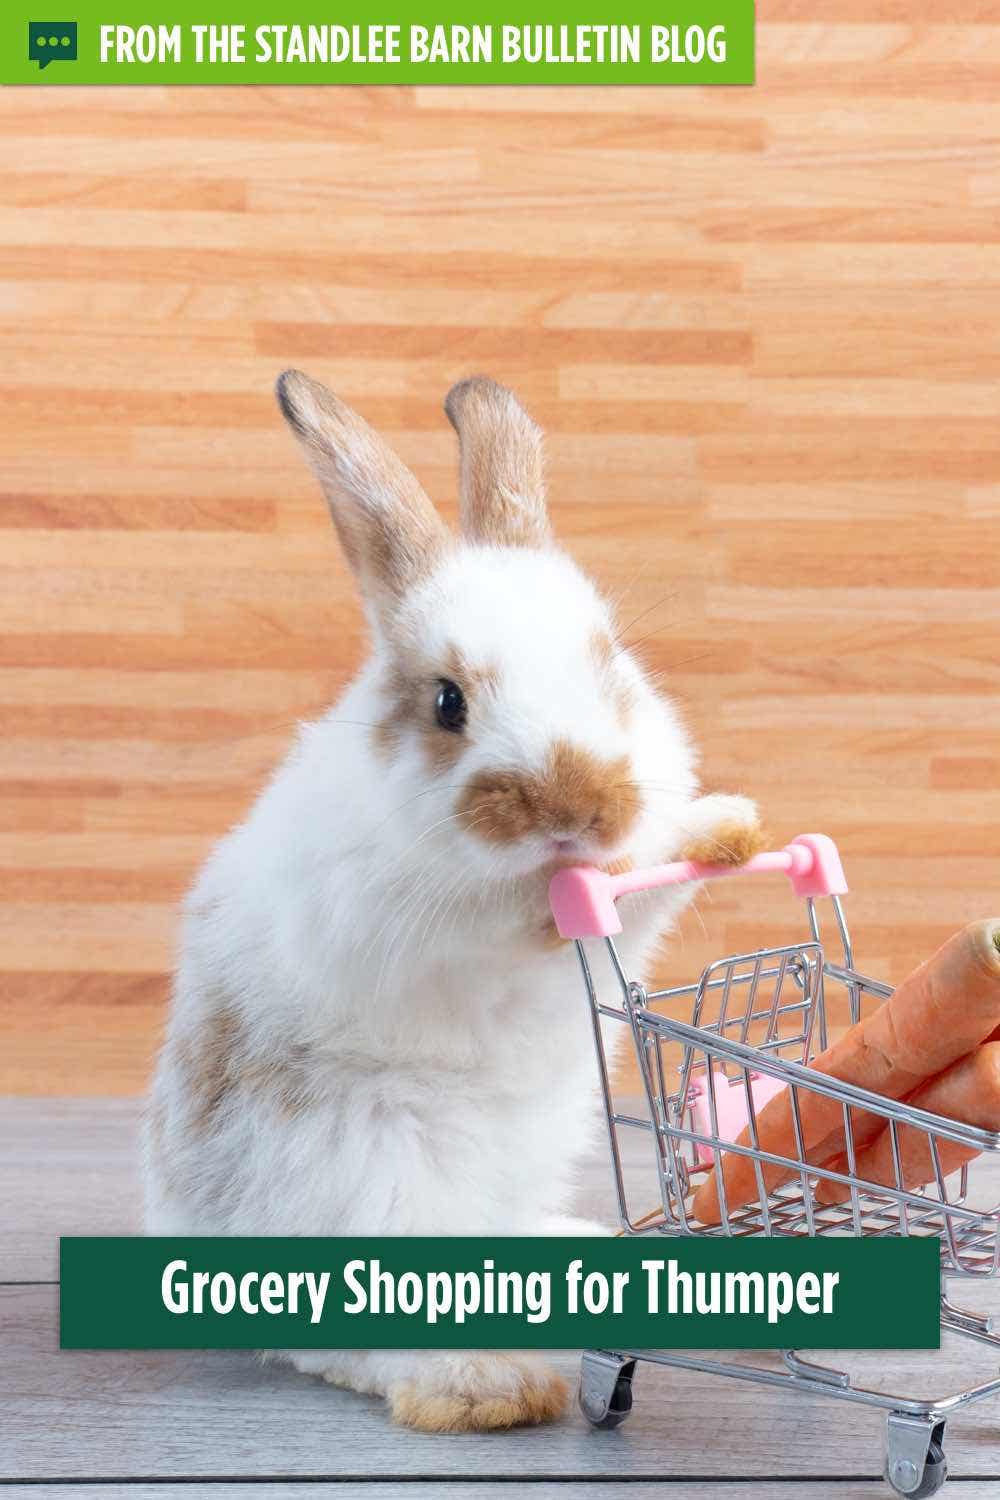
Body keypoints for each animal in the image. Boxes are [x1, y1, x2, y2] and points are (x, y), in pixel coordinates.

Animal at [142, 372, 767, 1428]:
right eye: (447, 703)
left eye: (611, 664)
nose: (576, 803)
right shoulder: (384, 922)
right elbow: (493, 925)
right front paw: (555, 900)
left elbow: (642, 886)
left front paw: (727, 829)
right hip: (368, 1173)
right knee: (351, 1338)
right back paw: (484, 1387)